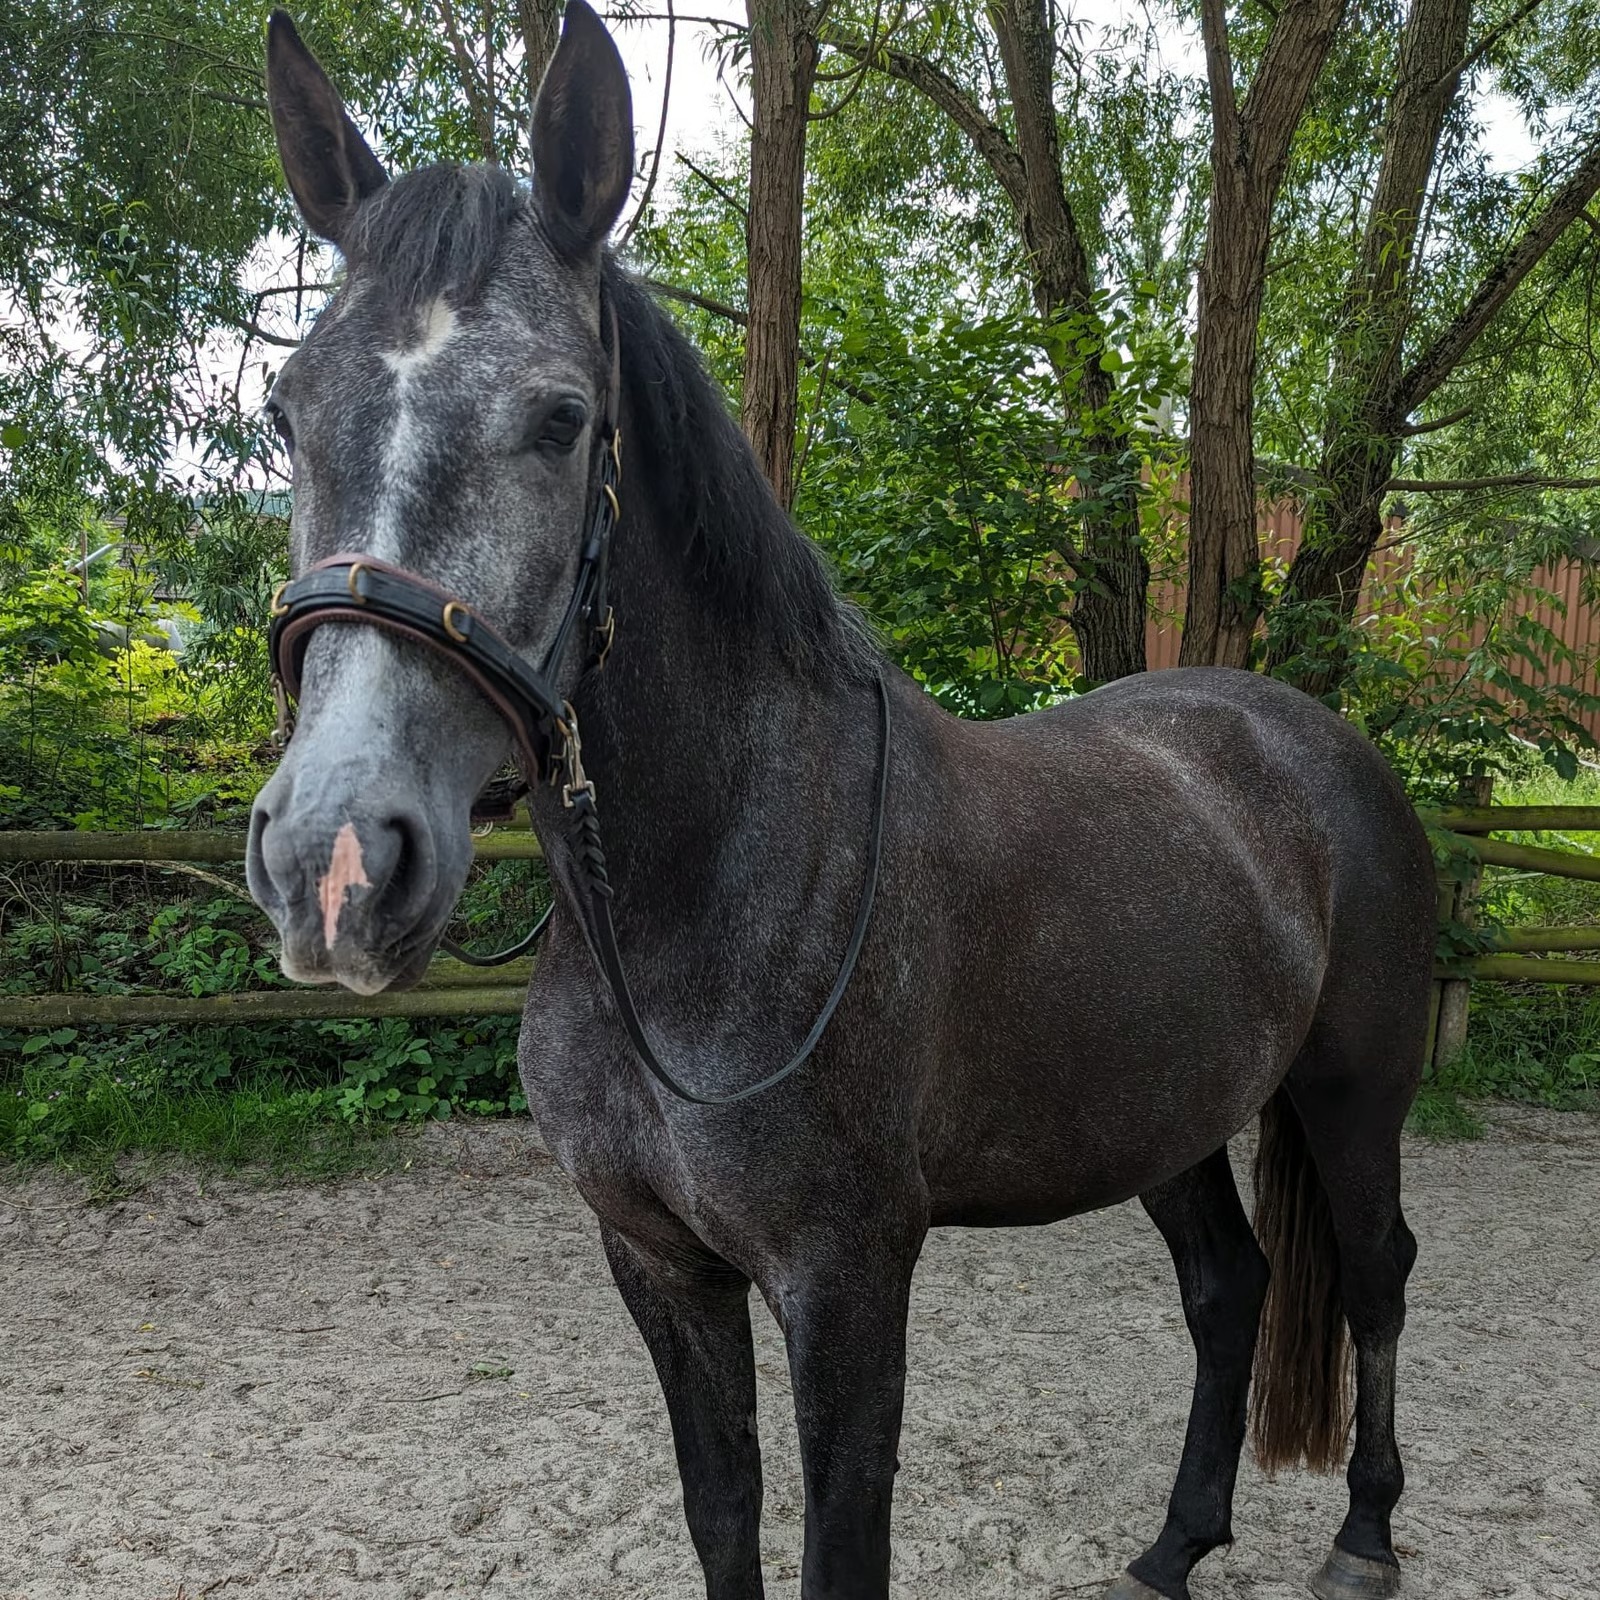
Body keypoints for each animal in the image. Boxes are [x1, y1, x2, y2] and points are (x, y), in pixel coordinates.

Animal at [246, 6, 1436, 1596]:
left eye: (561, 421)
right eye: (287, 411)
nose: (335, 863)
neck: (709, 893)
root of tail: (1315, 745)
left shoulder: (848, 1278)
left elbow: (838, 1546)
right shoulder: (659, 1265)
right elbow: (723, 1512)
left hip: (1352, 1096)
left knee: (1374, 1278)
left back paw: (1363, 1532)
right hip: (1168, 1117)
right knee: (1227, 1288)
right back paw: (1175, 1543)